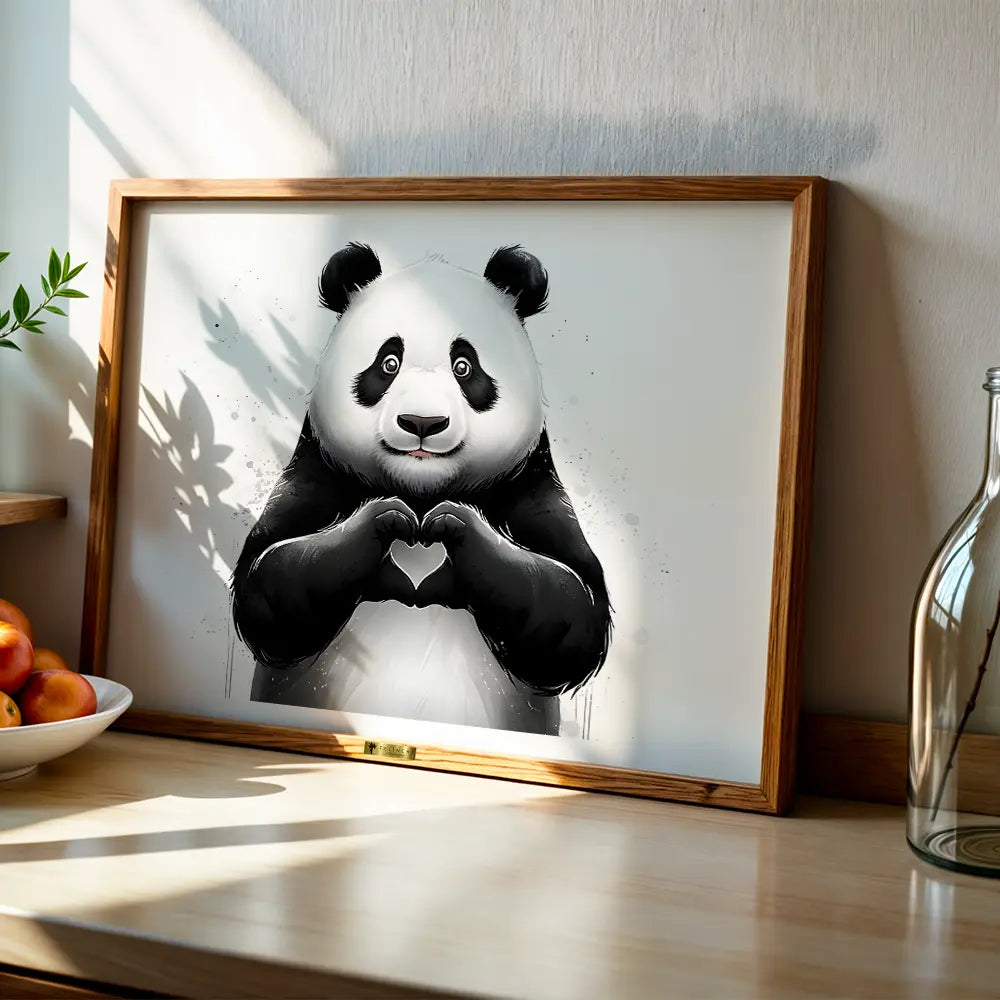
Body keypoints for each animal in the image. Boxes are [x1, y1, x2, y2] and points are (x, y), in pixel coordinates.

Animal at [231, 243, 612, 736]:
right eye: (388, 363)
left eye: (464, 367)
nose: (423, 423)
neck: (420, 489)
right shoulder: (318, 470)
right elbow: (271, 587)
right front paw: (386, 524)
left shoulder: (529, 483)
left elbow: (570, 612)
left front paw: (453, 530)